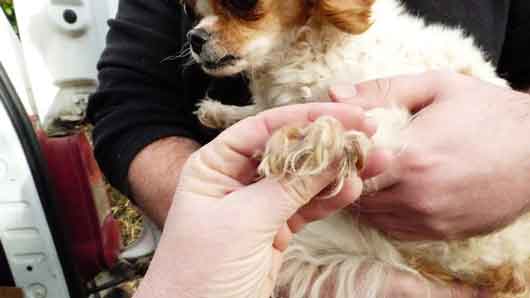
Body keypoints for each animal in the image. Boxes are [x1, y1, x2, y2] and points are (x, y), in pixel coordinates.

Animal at [180, 0, 528, 296]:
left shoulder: (392, 118)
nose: (194, 37)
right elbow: (263, 113)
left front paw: (309, 138)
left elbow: (351, 124)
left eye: (243, 5)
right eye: (192, 8)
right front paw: (224, 113)